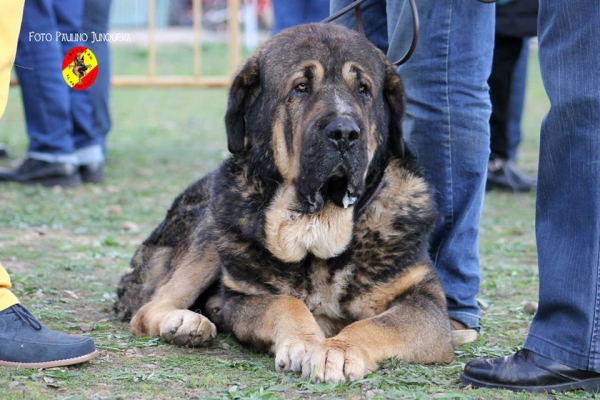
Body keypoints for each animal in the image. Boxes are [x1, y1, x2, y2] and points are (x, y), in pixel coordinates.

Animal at [112, 22, 452, 384]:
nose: (345, 133)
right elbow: (285, 304)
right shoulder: (248, 295)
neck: (316, 223)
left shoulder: (425, 303)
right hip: (207, 231)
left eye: (364, 90)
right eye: (301, 87)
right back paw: (185, 321)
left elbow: (375, 325)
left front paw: (338, 349)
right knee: (148, 309)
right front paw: (304, 342)